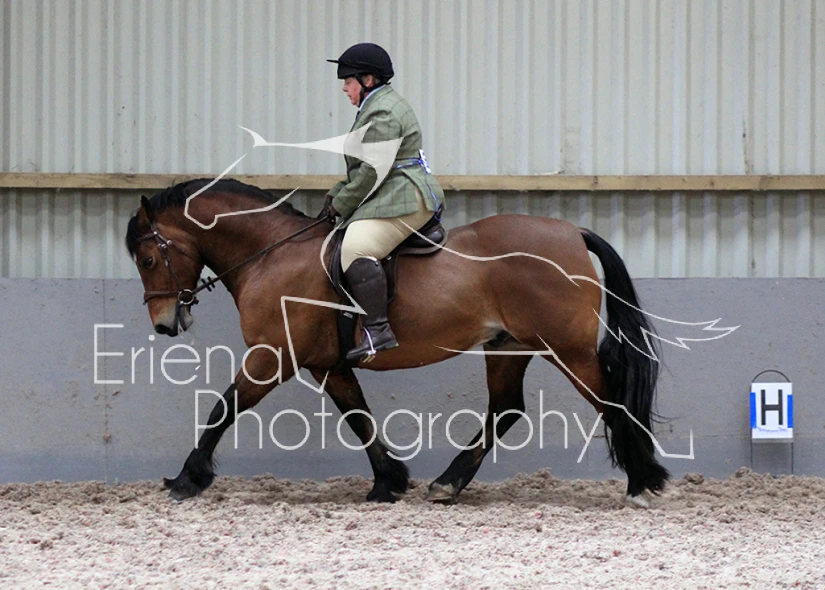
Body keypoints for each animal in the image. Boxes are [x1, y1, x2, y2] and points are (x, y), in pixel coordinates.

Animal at [125, 178, 668, 507]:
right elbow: (359, 417)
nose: (165, 324)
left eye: (148, 259)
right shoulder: (327, 364)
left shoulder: (271, 358)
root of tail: (572, 232)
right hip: (507, 347)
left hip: (567, 350)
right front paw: (389, 482)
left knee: (610, 403)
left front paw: (186, 479)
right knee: (506, 408)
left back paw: (642, 482)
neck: (270, 255)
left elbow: (224, 408)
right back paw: (447, 483)